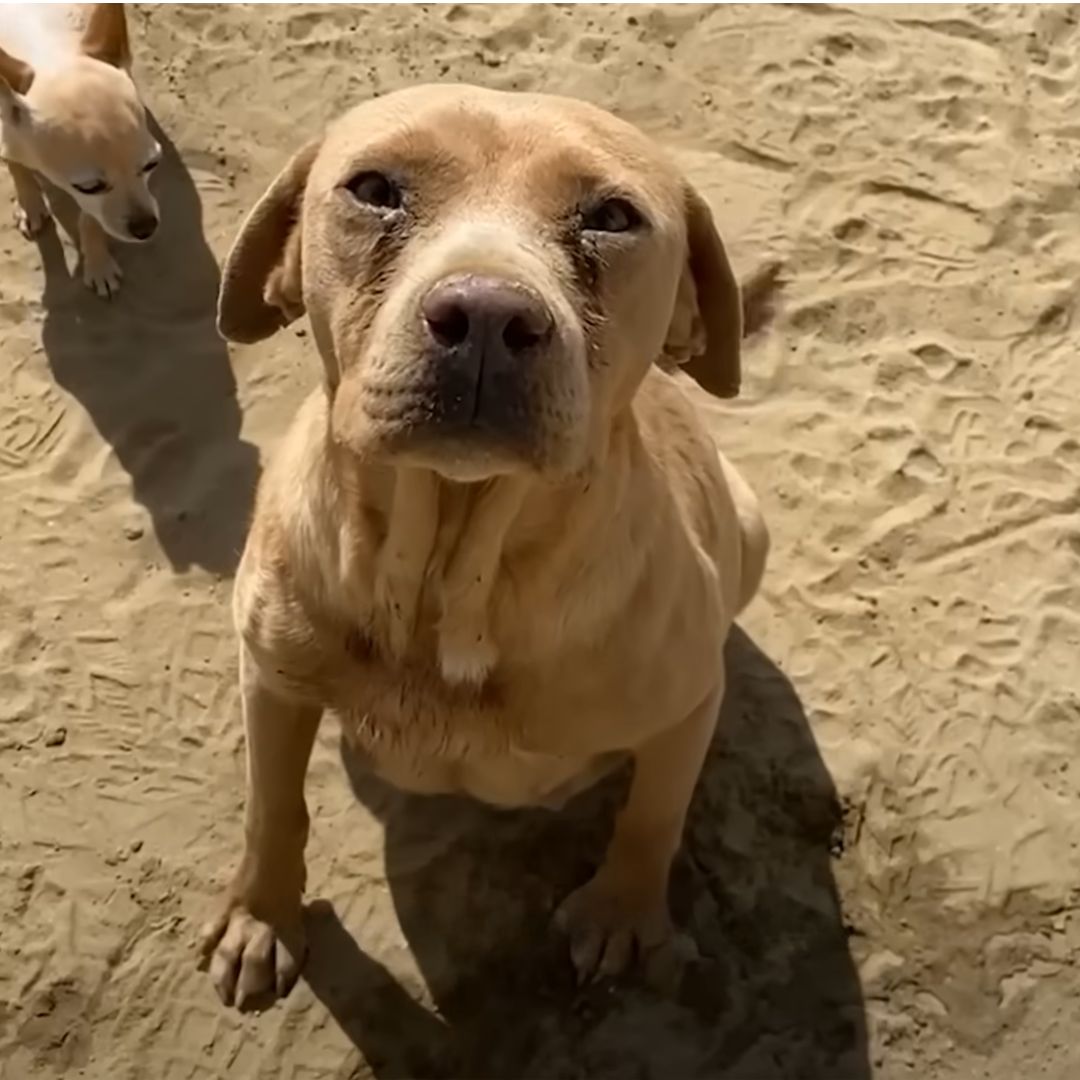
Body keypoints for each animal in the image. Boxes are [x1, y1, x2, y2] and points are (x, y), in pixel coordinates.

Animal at [0, 6, 159, 300]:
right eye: (89, 186)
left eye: (151, 165)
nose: (146, 226)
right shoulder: (7, 133)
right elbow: (17, 167)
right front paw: (30, 204)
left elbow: (91, 220)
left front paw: (98, 265)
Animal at [200, 86, 768, 1010]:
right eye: (374, 189)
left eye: (613, 216)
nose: (487, 316)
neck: (450, 573)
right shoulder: (272, 679)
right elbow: (272, 807)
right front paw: (263, 914)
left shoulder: (687, 708)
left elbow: (652, 816)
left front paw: (621, 910)